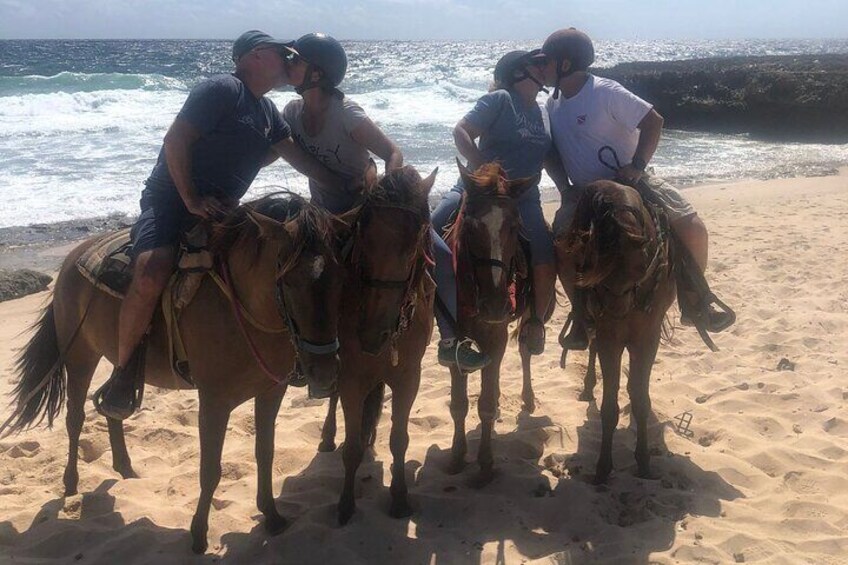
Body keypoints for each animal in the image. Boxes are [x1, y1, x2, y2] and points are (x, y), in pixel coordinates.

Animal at [4, 193, 344, 552]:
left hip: (118, 358)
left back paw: (125, 468)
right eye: (288, 281)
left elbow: (265, 453)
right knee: (74, 418)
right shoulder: (214, 402)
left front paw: (272, 516)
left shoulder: (271, 392)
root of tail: (71, 259)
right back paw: (70, 484)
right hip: (80, 355)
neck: (240, 306)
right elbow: (210, 469)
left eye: (341, 278)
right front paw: (198, 535)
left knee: (111, 406)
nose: (324, 371)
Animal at [444, 161, 536, 482]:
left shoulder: (495, 337)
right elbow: (459, 405)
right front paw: (457, 455)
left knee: (524, 349)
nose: (496, 306)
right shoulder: (457, 342)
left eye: (515, 225)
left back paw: (526, 397)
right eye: (471, 227)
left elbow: (483, 405)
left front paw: (485, 462)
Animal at [556, 180, 676, 480]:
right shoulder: (610, 338)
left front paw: (644, 461)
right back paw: (588, 387)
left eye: (641, 267)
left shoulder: (646, 339)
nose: (616, 312)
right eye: (590, 264)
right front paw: (602, 467)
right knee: (592, 345)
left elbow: (641, 398)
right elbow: (609, 406)